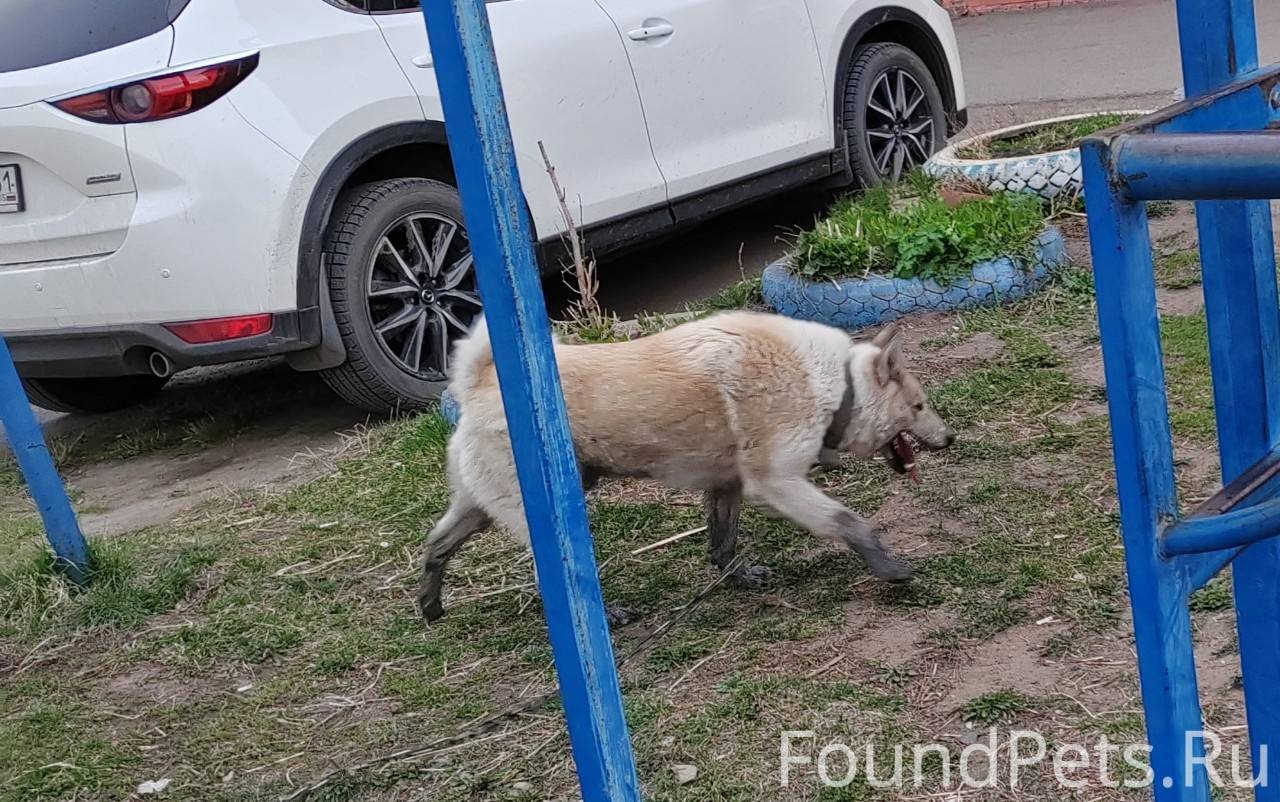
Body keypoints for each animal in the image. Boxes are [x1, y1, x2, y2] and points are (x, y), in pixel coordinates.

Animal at [417, 311, 954, 623]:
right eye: (919, 406)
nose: (952, 438)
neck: (838, 384)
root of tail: (479, 383)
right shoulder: (777, 482)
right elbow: (850, 523)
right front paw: (889, 568)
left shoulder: (727, 486)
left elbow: (722, 544)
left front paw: (738, 577)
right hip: (551, 520)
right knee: (562, 588)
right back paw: (607, 616)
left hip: (479, 509)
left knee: (435, 545)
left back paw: (430, 605)